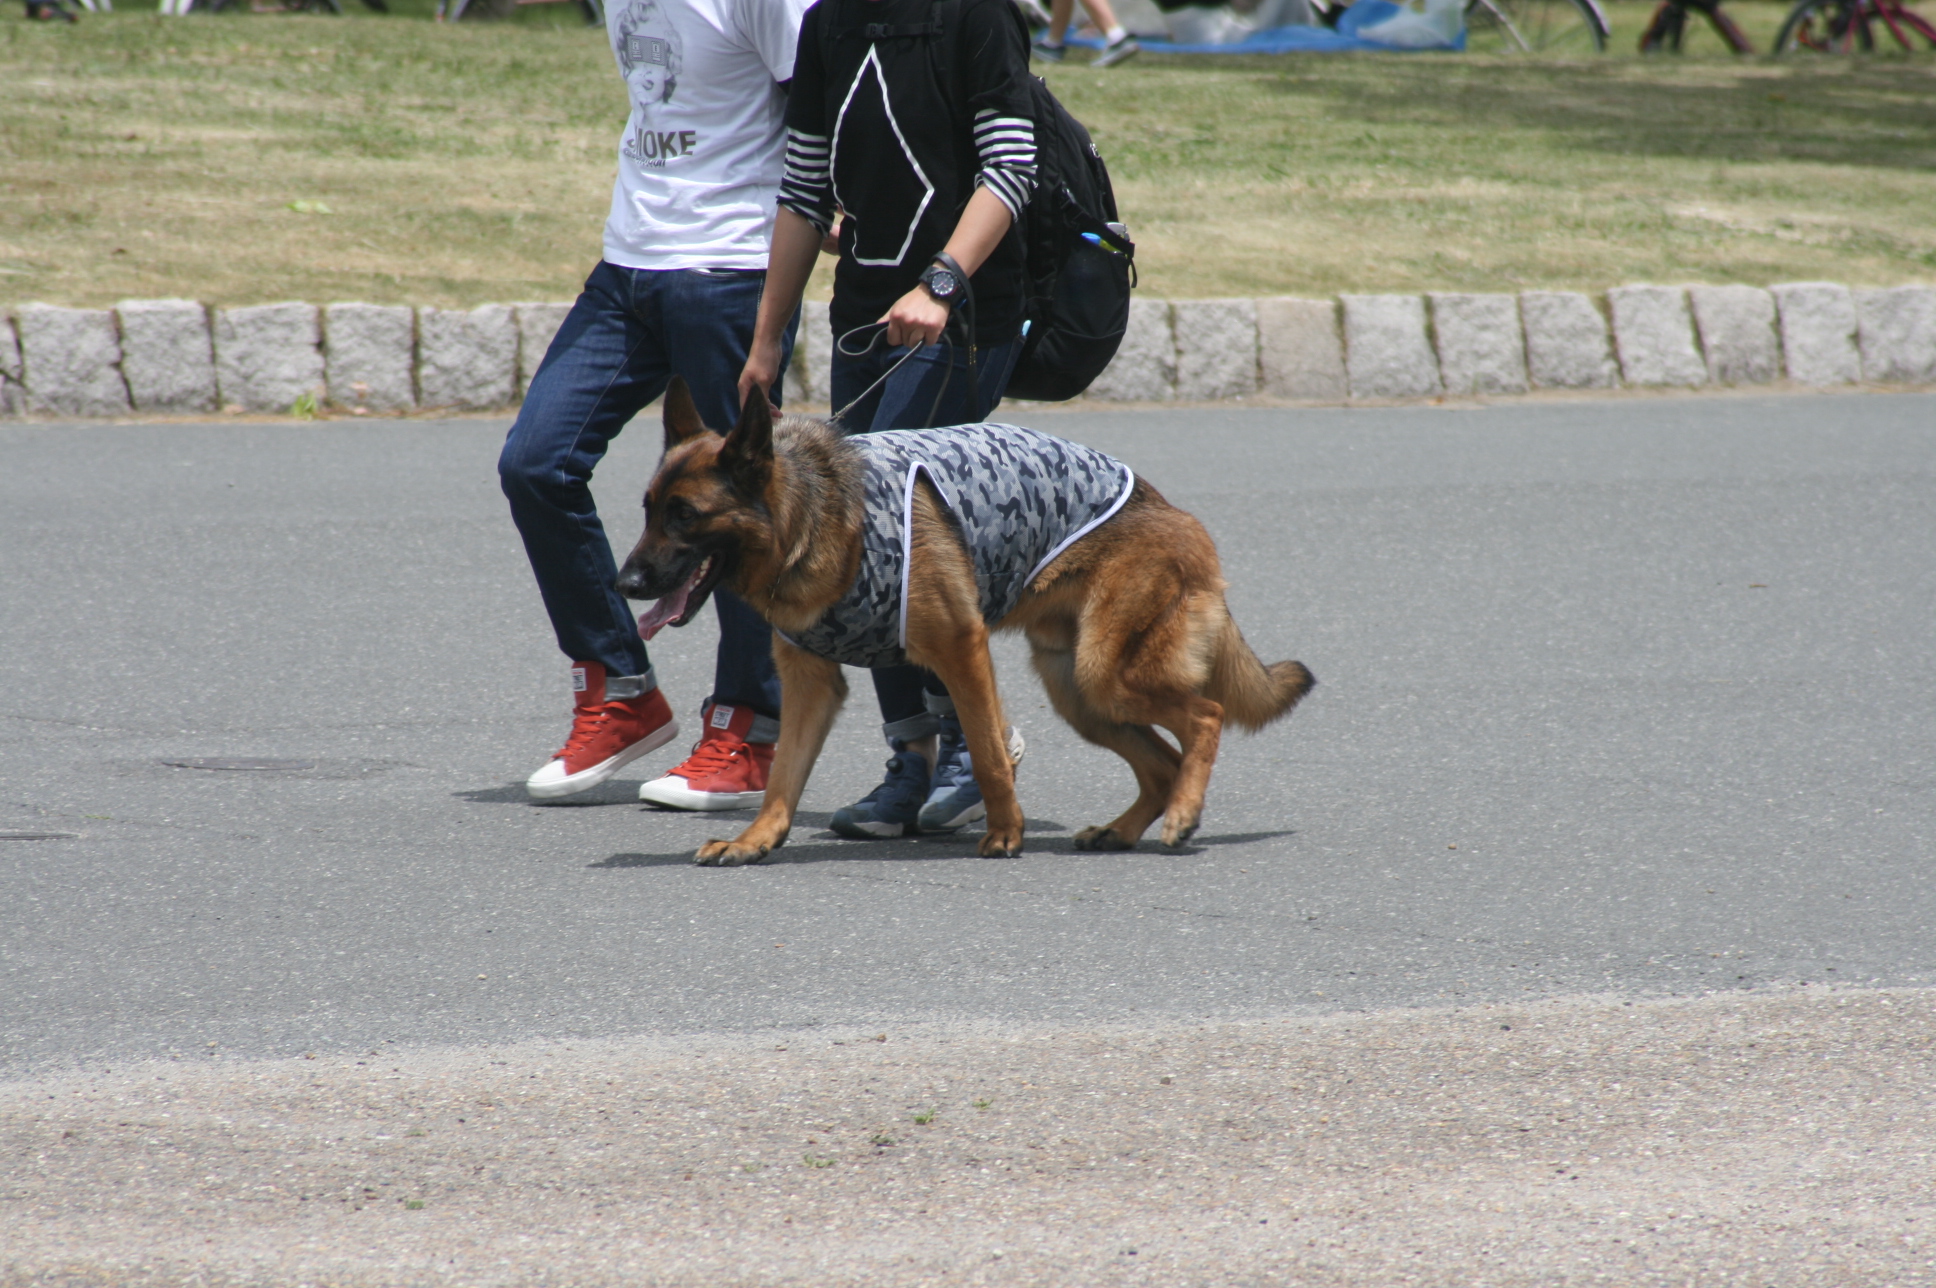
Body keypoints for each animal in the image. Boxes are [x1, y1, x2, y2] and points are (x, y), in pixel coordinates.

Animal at [619, 379, 1316, 863]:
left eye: (685, 515)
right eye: (649, 509)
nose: (625, 584)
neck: (812, 515)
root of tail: (1179, 515)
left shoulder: (960, 651)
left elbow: (986, 752)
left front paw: (1006, 832)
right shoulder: (811, 685)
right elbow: (782, 778)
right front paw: (755, 840)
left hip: (1106, 676)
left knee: (1206, 716)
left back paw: (1182, 815)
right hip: (1081, 694)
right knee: (1162, 762)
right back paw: (1123, 830)